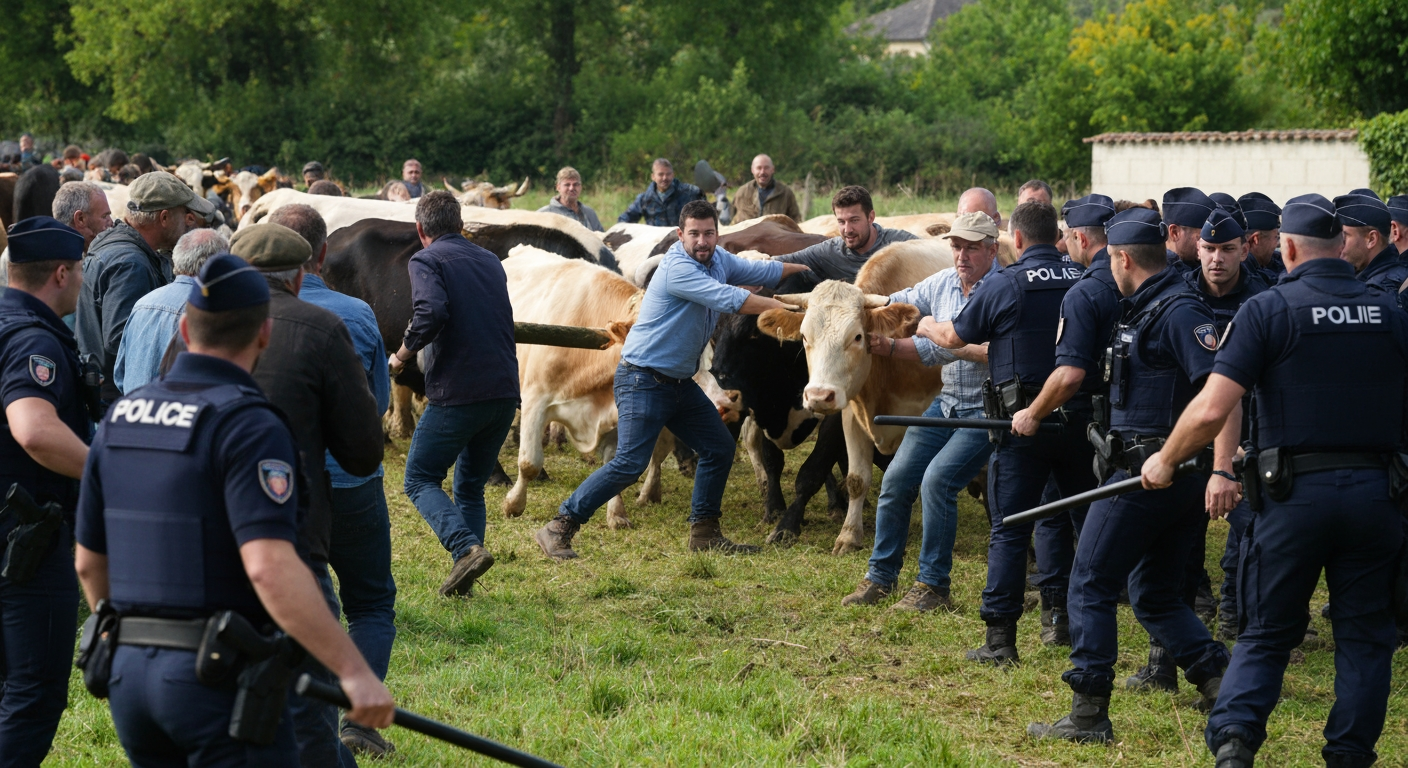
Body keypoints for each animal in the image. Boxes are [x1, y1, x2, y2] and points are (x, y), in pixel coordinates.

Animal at [755, 238, 951, 554]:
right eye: (805, 337)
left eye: (857, 337)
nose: (819, 395)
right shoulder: (851, 416)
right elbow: (858, 478)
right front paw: (849, 536)